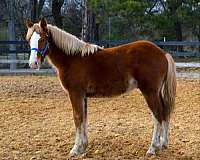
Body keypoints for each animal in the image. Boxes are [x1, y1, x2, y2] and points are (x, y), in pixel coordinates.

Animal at [25, 17, 177, 156]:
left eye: (42, 39)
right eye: (29, 39)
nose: (33, 63)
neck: (71, 59)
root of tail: (163, 53)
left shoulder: (75, 94)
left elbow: (77, 118)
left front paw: (75, 149)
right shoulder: (83, 96)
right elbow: (84, 118)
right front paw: (83, 146)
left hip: (150, 92)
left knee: (157, 115)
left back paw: (152, 148)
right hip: (156, 93)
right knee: (164, 113)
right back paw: (163, 144)